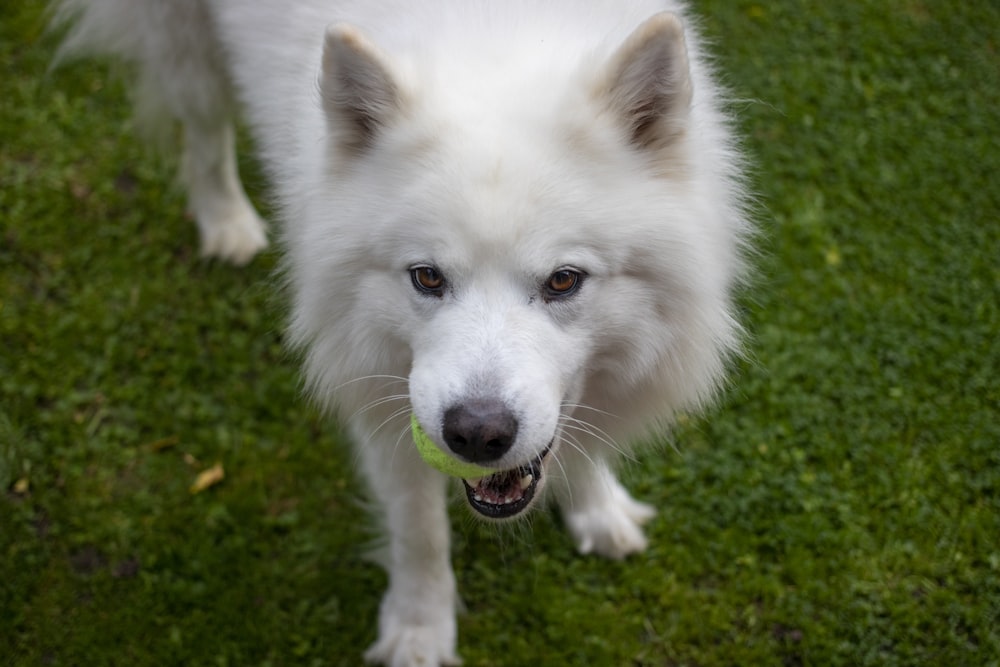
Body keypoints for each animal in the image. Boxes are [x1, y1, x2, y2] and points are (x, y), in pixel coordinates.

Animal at [52, 2, 752, 664]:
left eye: (563, 281)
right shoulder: (383, 397)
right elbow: (418, 532)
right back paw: (225, 221)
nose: (476, 434)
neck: (495, 42)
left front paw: (597, 508)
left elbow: (581, 442)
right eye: (426, 276)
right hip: (189, 49)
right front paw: (418, 631)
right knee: (202, 131)